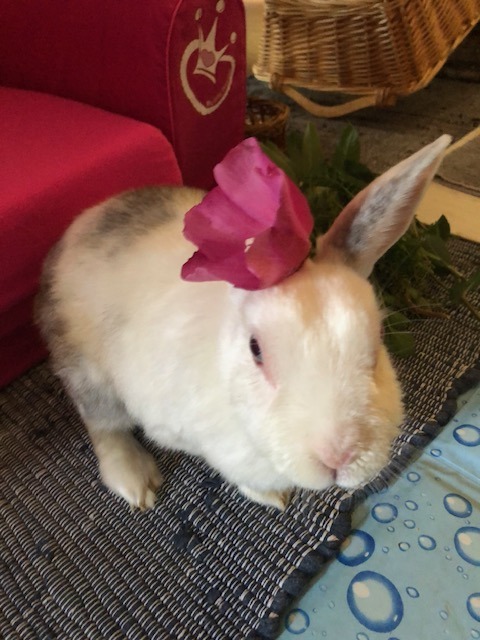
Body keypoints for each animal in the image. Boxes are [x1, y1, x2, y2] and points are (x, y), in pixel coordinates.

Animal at [35, 135, 451, 511]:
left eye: (377, 340)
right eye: (256, 350)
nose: (340, 457)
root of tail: (81, 224)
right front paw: (272, 497)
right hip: (88, 373)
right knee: (103, 425)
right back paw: (135, 484)